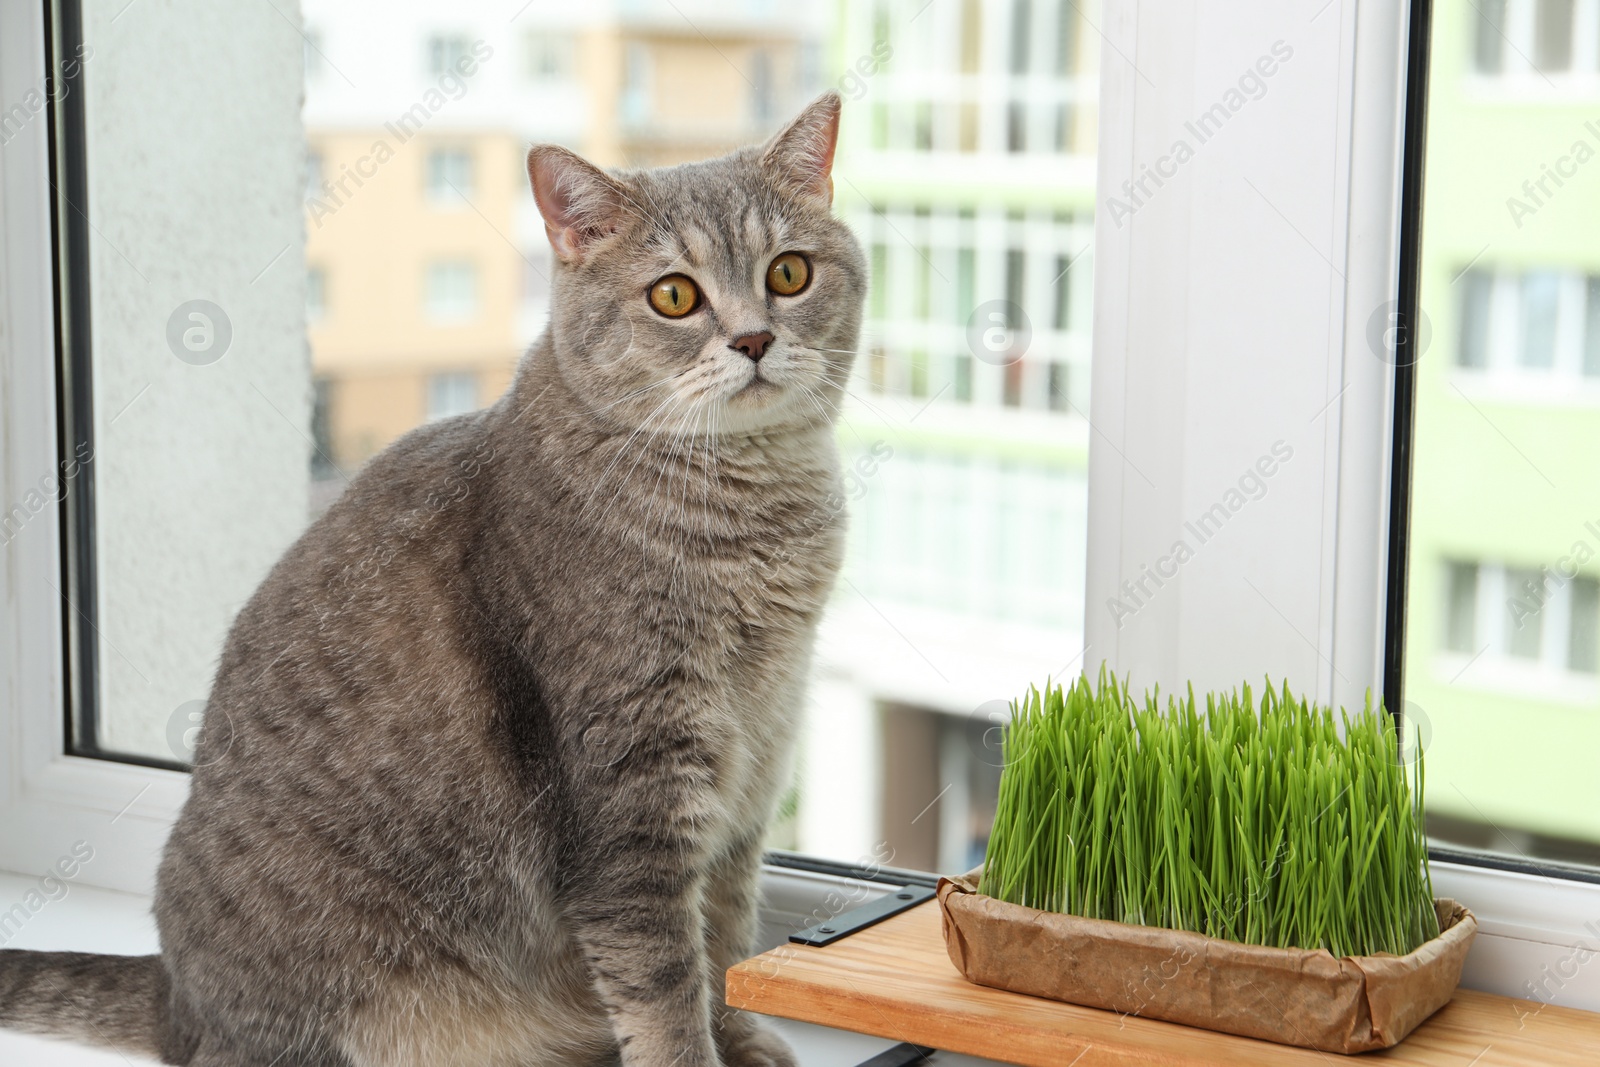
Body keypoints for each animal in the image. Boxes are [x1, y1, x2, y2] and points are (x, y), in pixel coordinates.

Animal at [0, 91, 870, 1067]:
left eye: (789, 273)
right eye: (674, 295)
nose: (754, 337)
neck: (750, 516)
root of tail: (175, 1000)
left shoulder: (751, 774)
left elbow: (723, 939)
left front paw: (741, 1033)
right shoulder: (628, 801)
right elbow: (662, 984)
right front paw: (695, 1047)